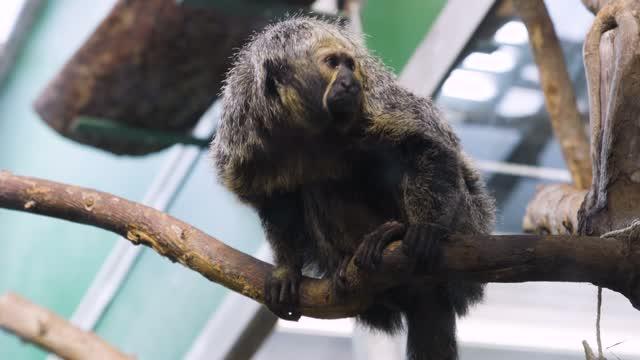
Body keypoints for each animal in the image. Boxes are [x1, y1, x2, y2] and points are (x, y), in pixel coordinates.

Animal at [210, 15, 496, 358]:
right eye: (333, 63)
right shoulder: (245, 136)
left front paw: (425, 227)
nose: (349, 81)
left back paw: (394, 234)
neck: (305, 126)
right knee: (319, 187)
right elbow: (277, 200)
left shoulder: (376, 105)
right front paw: (286, 269)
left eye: (350, 64)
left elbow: (427, 146)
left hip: (468, 222)